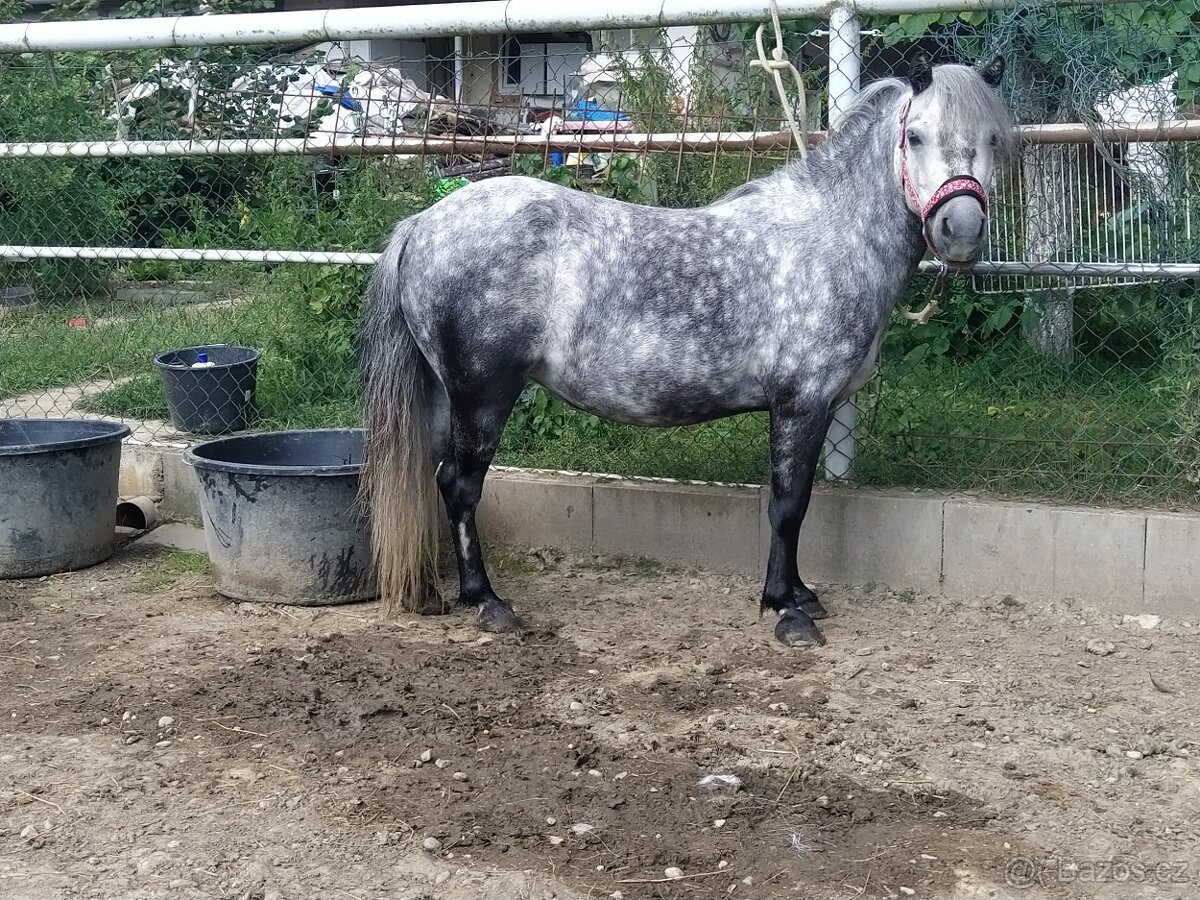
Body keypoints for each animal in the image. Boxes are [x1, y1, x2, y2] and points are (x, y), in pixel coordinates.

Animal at [359, 55, 1013, 648]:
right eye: (915, 135)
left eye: (992, 139)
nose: (961, 232)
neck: (830, 238)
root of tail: (423, 224)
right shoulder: (799, 404)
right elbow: (788, 504)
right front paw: (786, 610)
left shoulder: (818, 408)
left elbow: (796, 501)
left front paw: (802, 595)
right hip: (482, 397)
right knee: (460, 485)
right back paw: (487, 602)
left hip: (445, 396)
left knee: (433, 480)